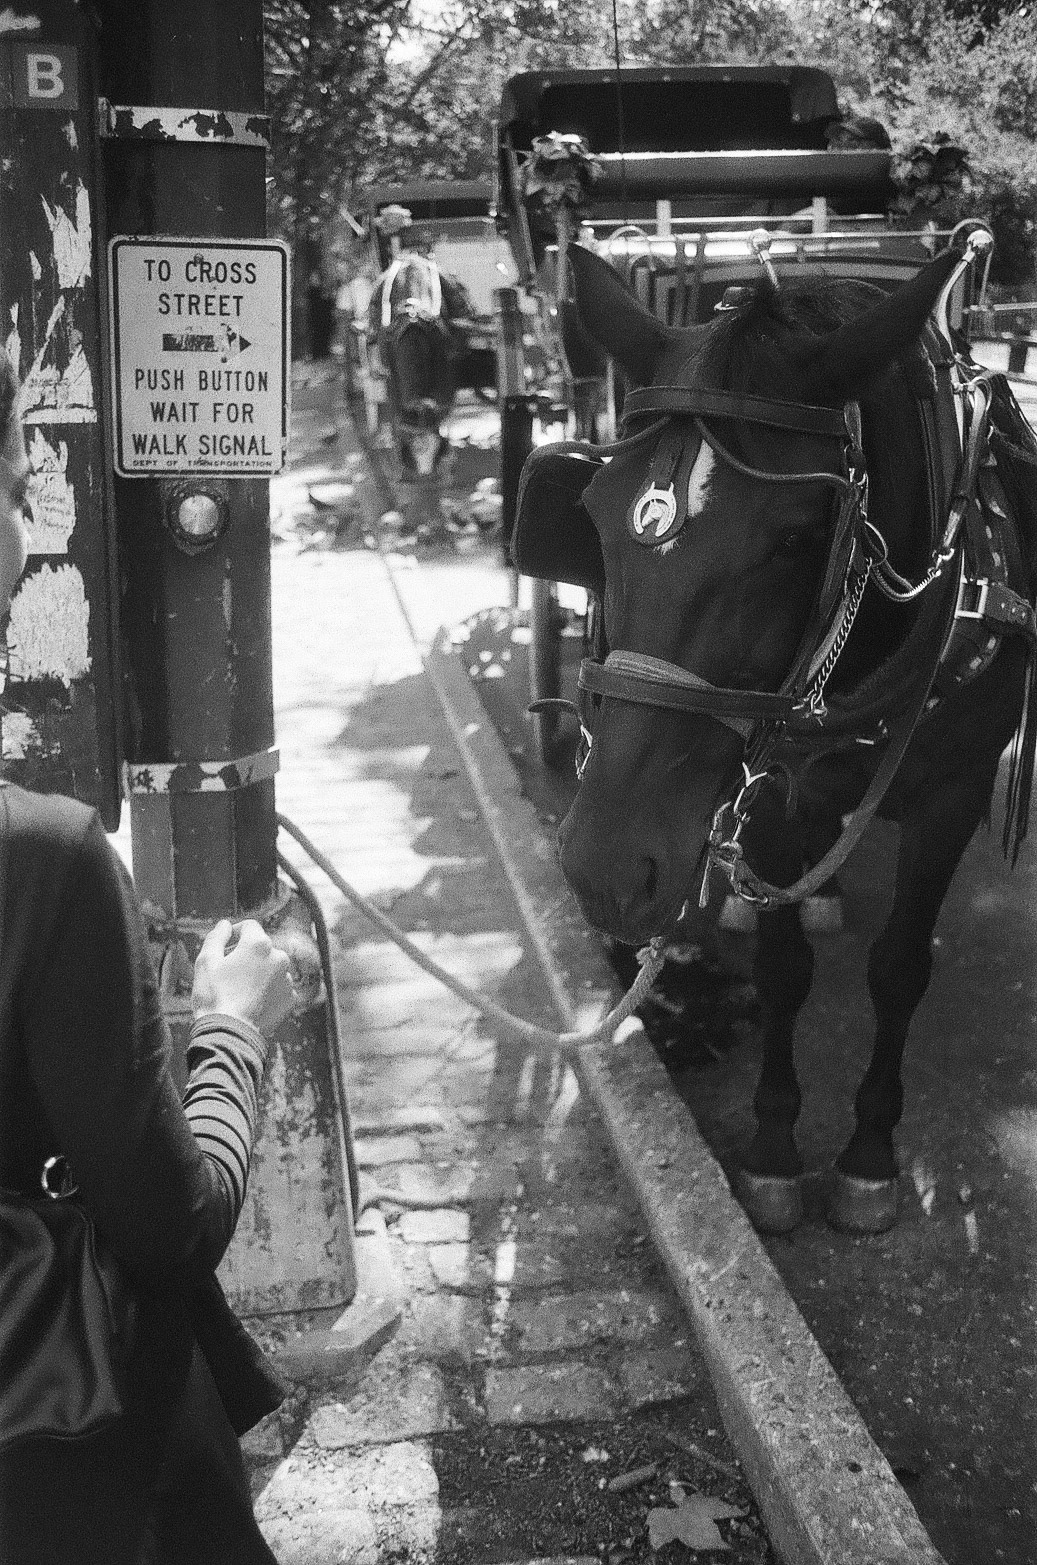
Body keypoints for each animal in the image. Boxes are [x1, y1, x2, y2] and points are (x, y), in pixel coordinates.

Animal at [368, 250, 469, 478]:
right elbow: (395, 410)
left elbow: (445, 406)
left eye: (437, 445)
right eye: (409, 442)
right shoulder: (392, 376)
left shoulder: (447, 372)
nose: (424, 473)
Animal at [513, 235, 1037, 1236]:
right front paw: (772, 1148)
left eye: (796, 537)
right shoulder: (772, 793)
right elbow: (783, 968)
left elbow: (899, 968)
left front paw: (867, 1156)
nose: (603, 864)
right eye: (587, 517)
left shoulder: (952, 795)